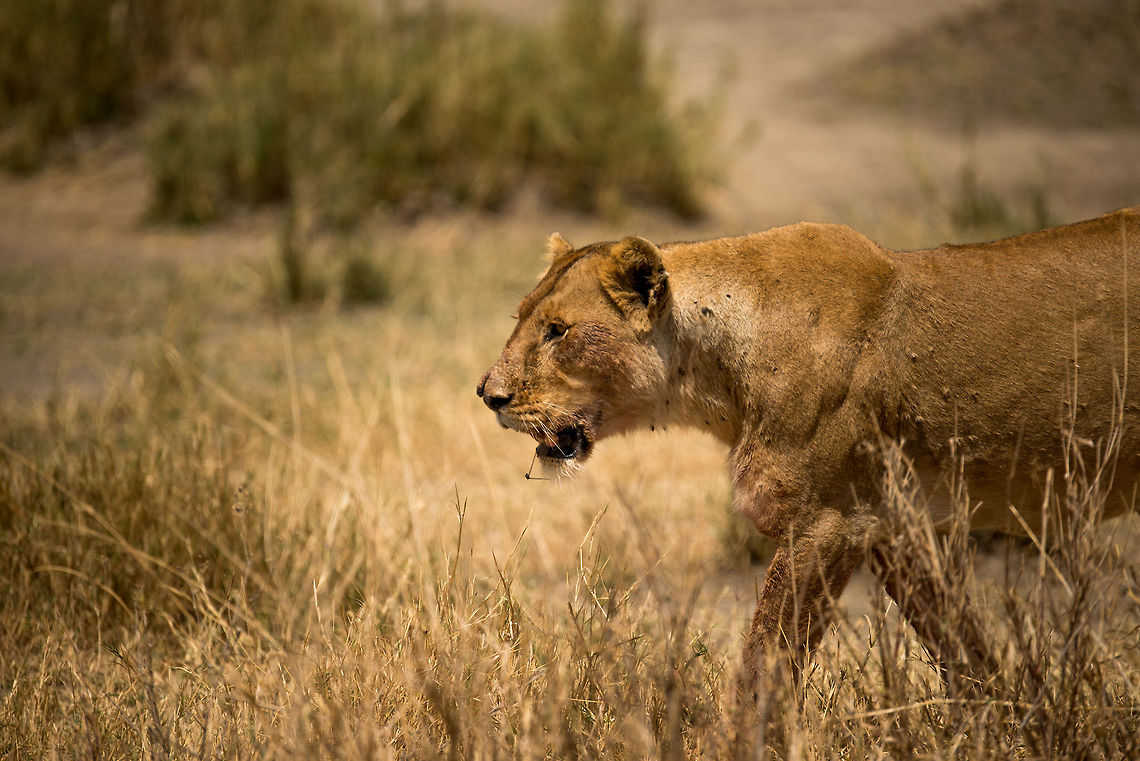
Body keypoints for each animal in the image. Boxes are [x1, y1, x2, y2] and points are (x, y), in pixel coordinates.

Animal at [477, 206, 1140, 736]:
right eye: (521, 317)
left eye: (557, 331)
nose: (488, 395)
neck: (718, 374)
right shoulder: (895, 524)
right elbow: (959, 640)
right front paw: (1006, 725)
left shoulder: (828, 521)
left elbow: (764, 662)